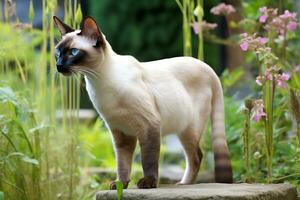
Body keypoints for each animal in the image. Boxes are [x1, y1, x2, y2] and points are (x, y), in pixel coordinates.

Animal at [53, 15, 232, 189]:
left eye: (73, 52)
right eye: (58, 52)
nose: (58, 65)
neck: (98, 83)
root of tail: (208, 68)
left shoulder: (148, 125)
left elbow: (148, 160)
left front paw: (148, 183)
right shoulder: (120, 132)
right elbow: (123, 163)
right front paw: (120, 184)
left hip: (188, 129)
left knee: (196, 155)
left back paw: (183, 183)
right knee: (195, 156)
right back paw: (184, 183)